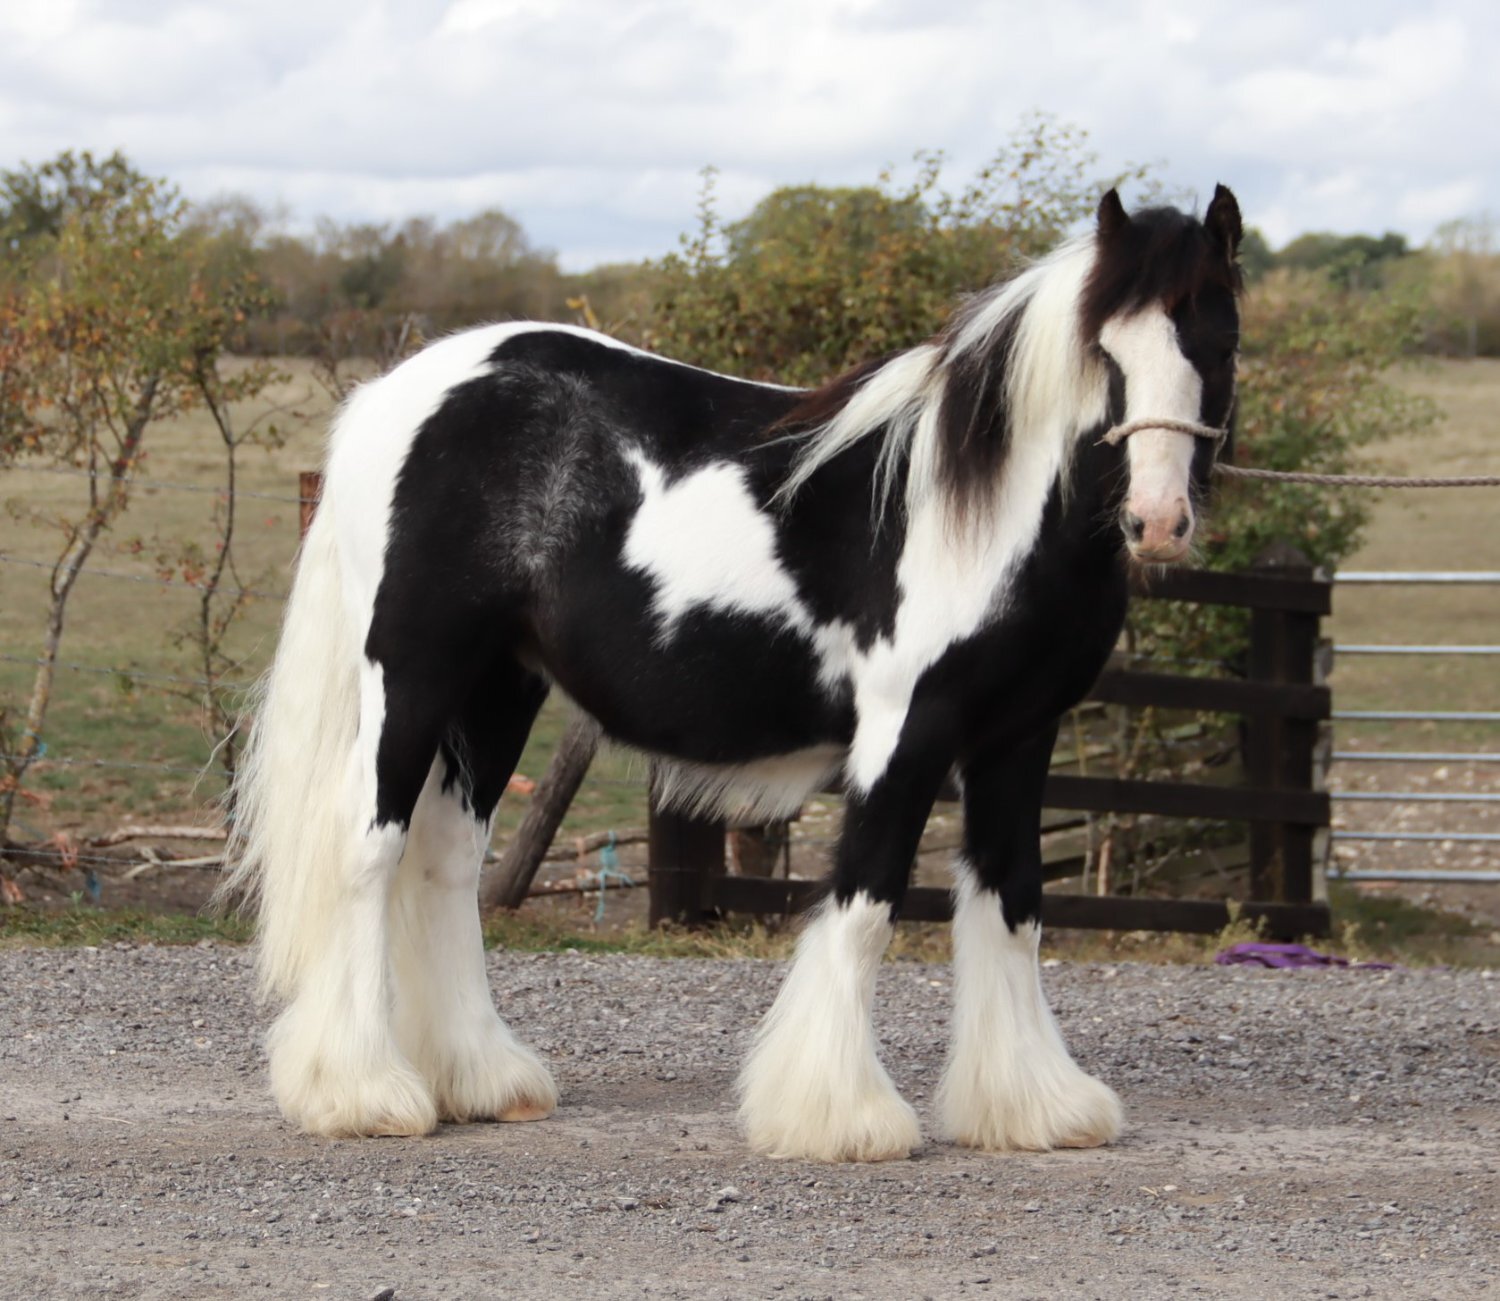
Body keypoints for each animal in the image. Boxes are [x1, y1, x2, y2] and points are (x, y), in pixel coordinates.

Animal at [223, 185, 1244, 1162]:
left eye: (1220, 335)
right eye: (1105, 348)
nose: (1157, 519)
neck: (981, 511)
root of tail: (394, 395)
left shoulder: (1018, 738)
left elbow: (1012, 905)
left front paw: (1033, 1107)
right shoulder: (903, 733)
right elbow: (866, 904)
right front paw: (840, 1117)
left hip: (498, 689)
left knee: (444, 861)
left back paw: (480, 1079)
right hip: (413, 673)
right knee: (368, 848)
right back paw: (362, 1093)